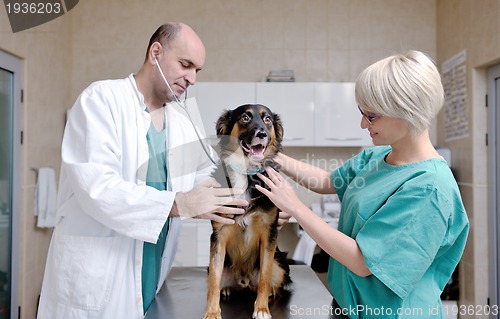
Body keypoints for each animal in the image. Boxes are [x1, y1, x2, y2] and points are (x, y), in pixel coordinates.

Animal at [203, 105, 292, 319]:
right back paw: (227, 289)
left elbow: (265, 277)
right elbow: (214, 281)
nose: (262, 134)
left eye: (267, 120)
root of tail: (244, 281)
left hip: (281, 264)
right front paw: (212, 312)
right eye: (245, 117)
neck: (246, 173)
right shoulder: (218, 235)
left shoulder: (269, 233)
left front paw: (261, 309)